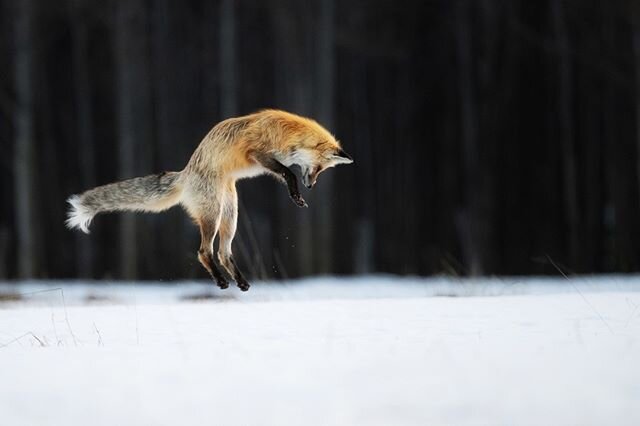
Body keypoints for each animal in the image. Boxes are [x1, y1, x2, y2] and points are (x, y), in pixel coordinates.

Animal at [65, 108, 356, 292]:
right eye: (319, 168)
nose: (311, 185)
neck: (287, 133)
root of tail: (185, 173)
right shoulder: (258, 153)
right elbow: (287, 172)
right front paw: (296, 194)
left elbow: (285, 172)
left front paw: (297, 195)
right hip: (212, 214)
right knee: (204, 251)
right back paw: (221, 281)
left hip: (230, 216)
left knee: (223, 253)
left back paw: (240, 282)